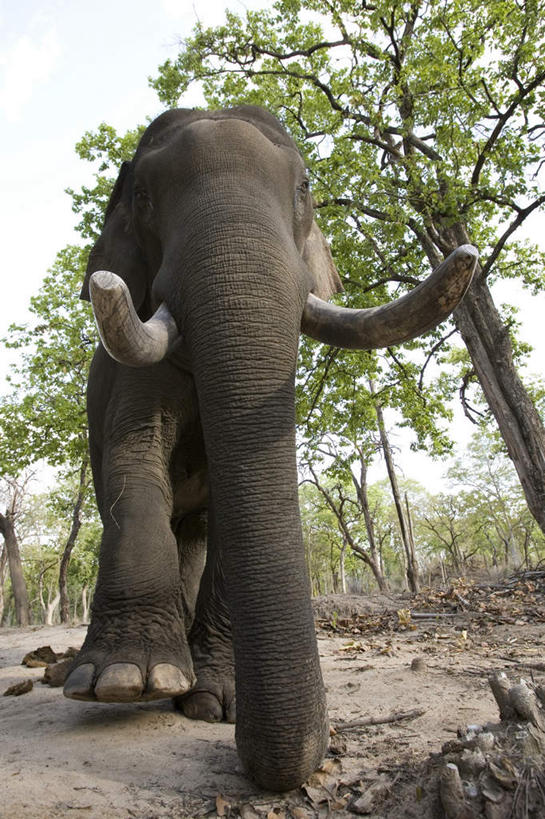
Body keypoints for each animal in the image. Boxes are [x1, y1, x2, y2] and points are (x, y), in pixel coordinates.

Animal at [63, 105, 476, 792]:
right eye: (143, 197)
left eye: (305, 189)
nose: (259, 757)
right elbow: (133, 457)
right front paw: (123, 682)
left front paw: (215, 703)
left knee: (197, 531)